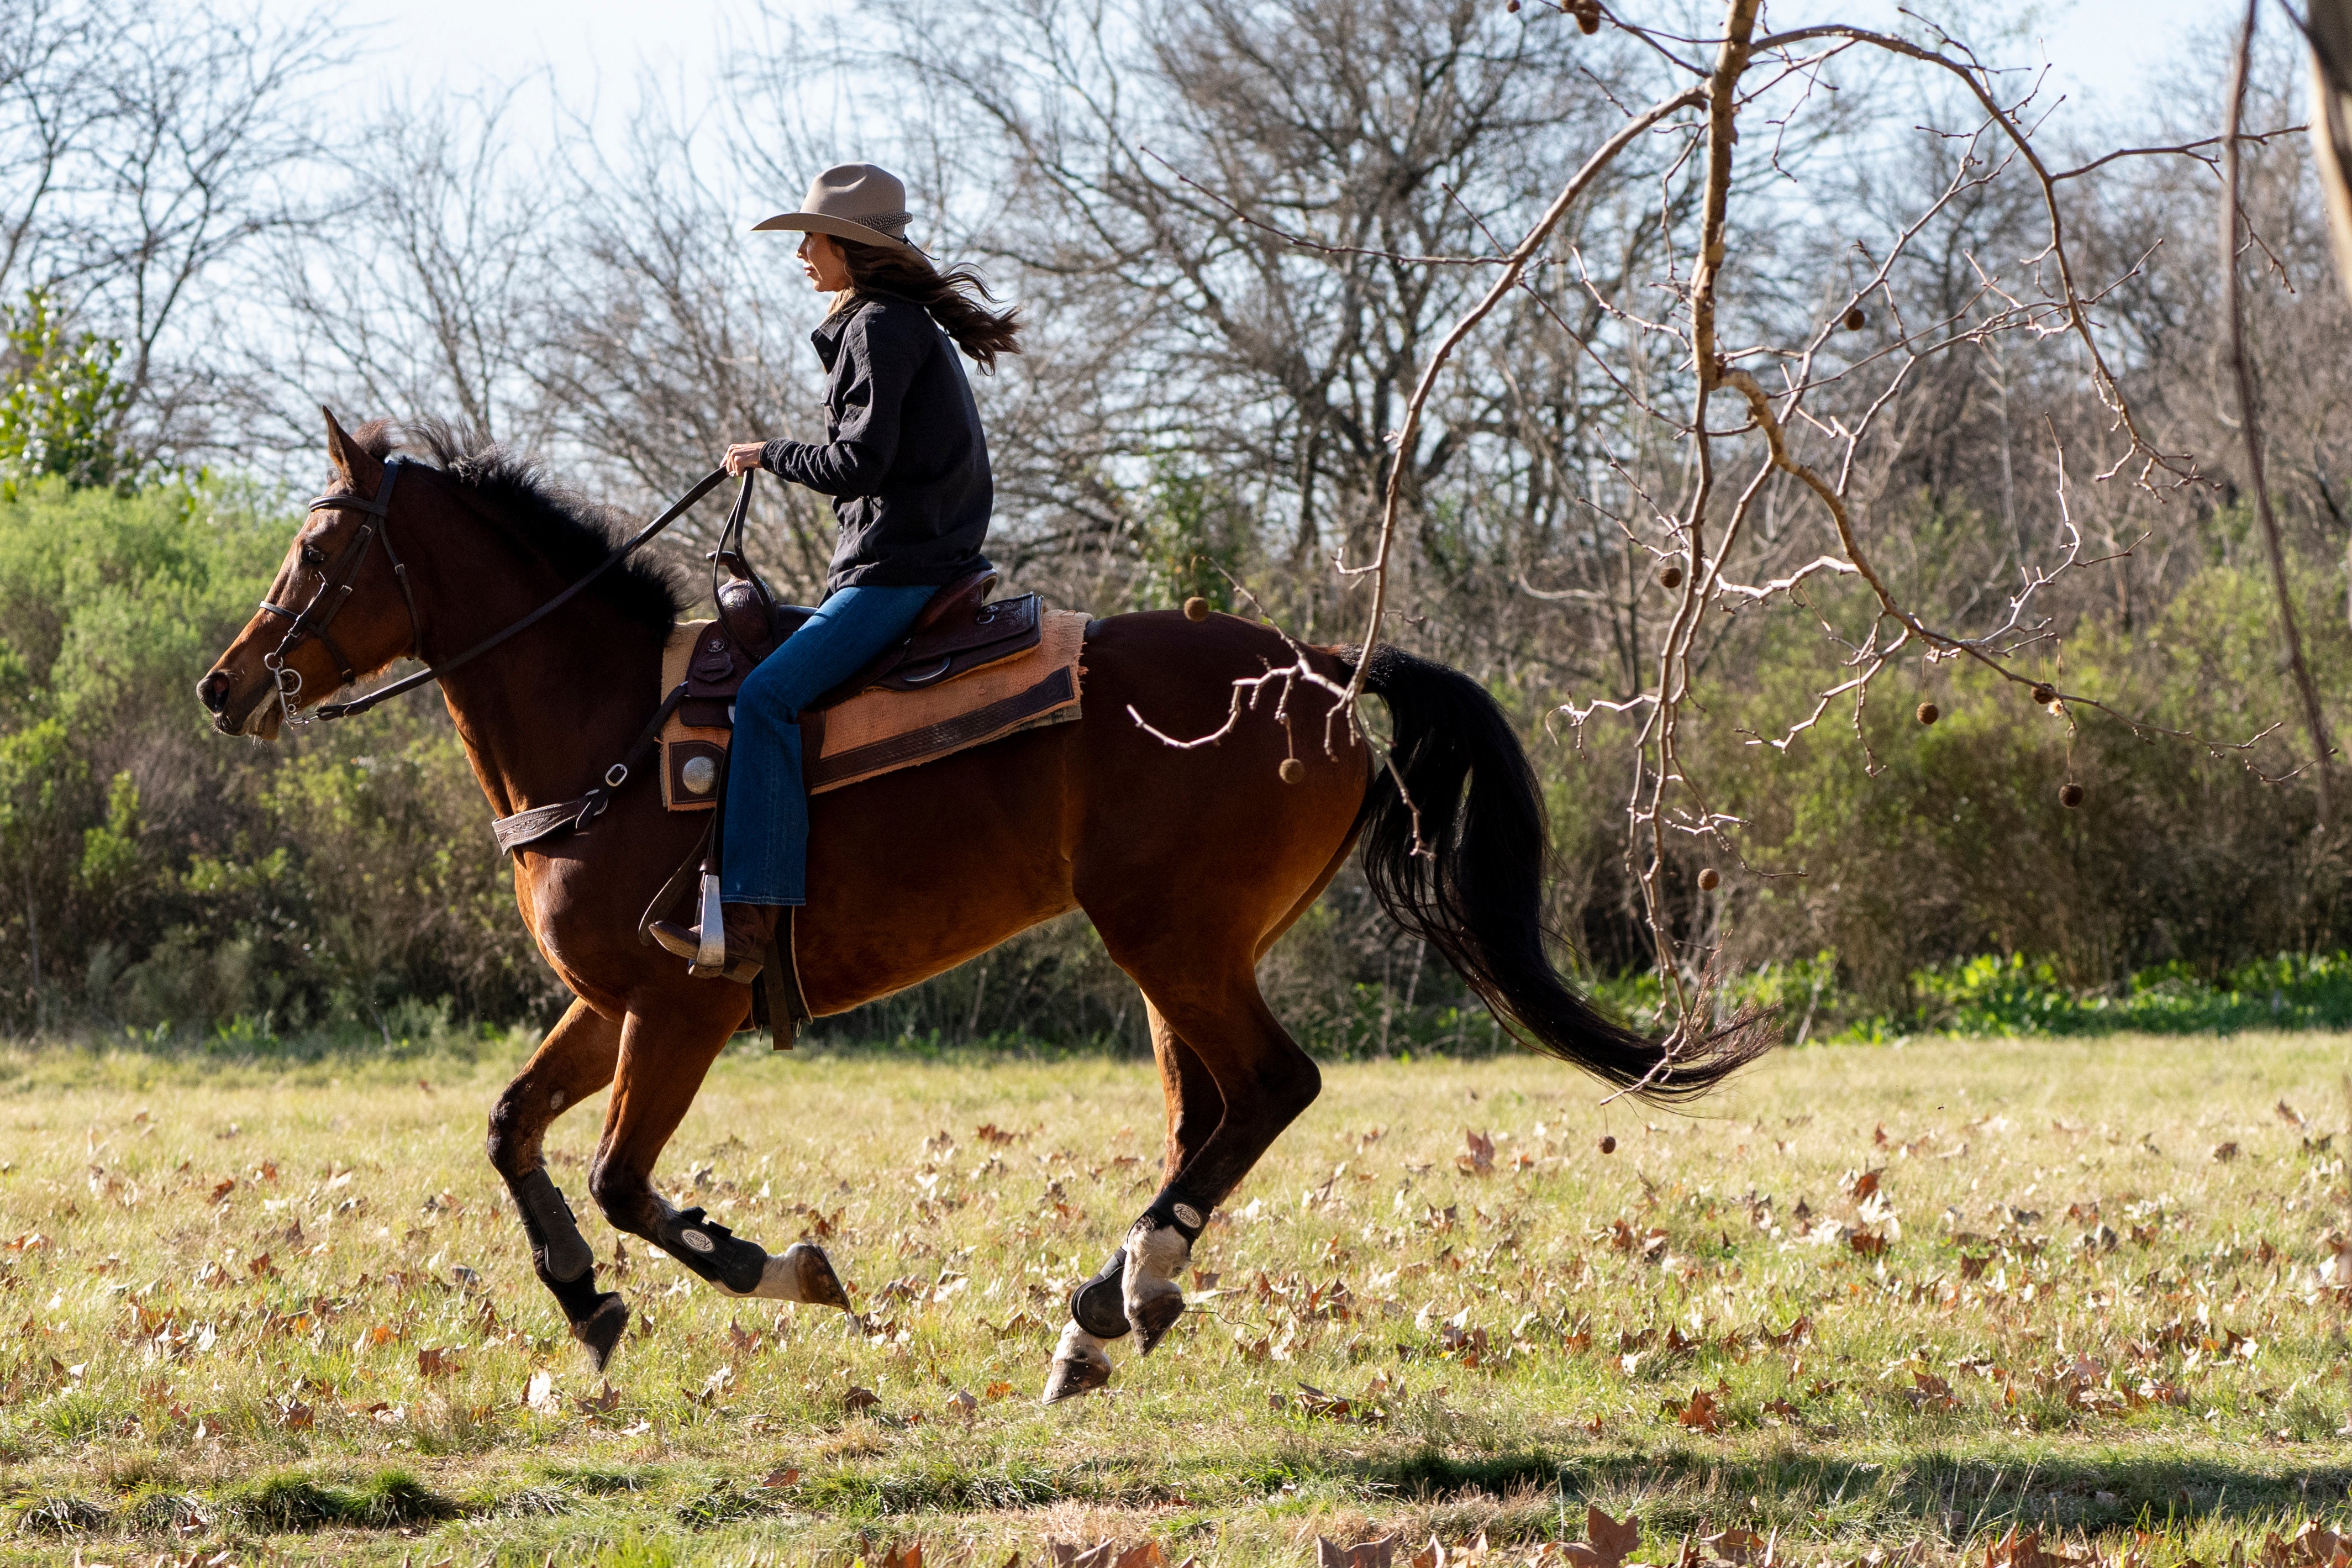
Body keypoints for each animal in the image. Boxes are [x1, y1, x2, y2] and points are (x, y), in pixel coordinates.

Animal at [197, 411, 1771, 1402]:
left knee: (1271, 1088)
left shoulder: (686, 1006)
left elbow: (624, 1181)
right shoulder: (609, 1002)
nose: (223, 684)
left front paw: (779, 1268)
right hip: (1184, 955)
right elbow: (514, 1128)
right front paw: (585, 1306)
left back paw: (1107, 1303)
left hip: (1172, 940)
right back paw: (1119, 1307)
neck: (613, 732)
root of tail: (1319, 665)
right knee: (1208, 1113)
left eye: (317, 549)